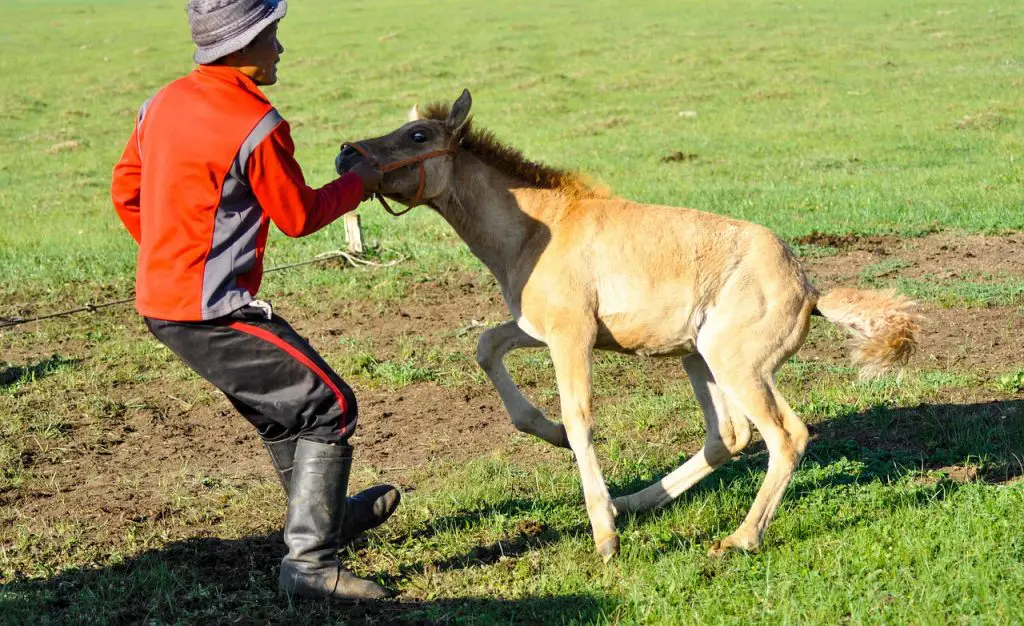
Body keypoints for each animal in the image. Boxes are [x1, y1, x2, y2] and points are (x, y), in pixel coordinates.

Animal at [335, 88, 921, 561]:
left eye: (417, 135)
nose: (344, 154)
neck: (535, 230)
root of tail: (809, 289)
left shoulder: (571, 335)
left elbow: (580, 420)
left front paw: (604, 537)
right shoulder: (542, 328)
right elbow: (487, 346)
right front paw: (552, 439)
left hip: (738, 365)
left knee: (785, 436)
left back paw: (737, 538)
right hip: (699, 358)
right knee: (727, 436)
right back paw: (636, 501)